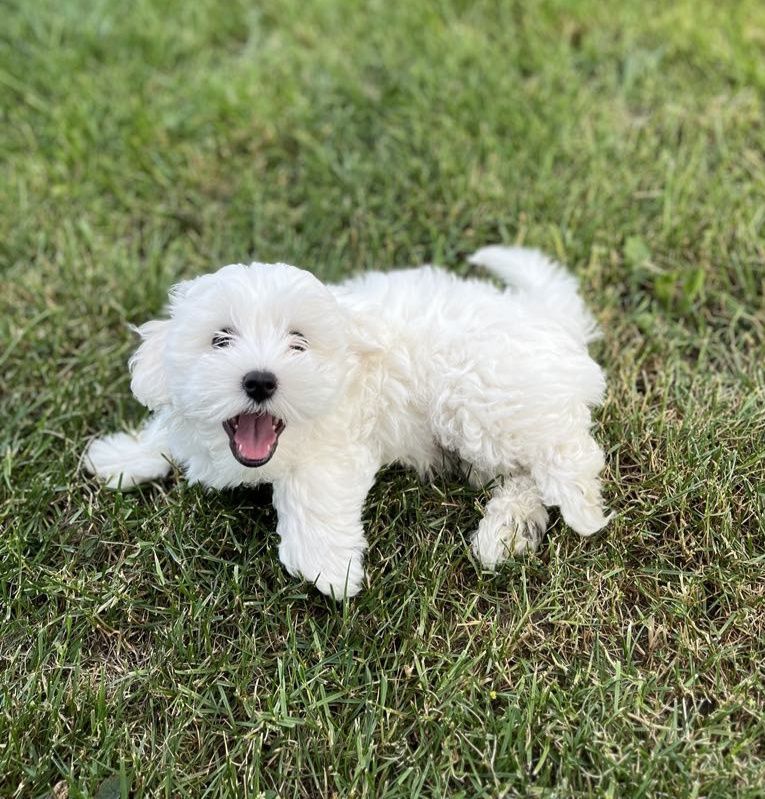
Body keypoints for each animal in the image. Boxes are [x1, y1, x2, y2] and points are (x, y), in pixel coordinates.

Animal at [85, 247, 608, 596]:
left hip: (477, 396)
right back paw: (507, 531)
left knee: (563, 455)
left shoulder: (339, 440)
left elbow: (310, 494)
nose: (260, 381)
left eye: (298, 342)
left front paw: (328, 568)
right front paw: (122, 456)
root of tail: (545, 316)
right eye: (220, 339)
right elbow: (166, 432)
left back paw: (566, 513)